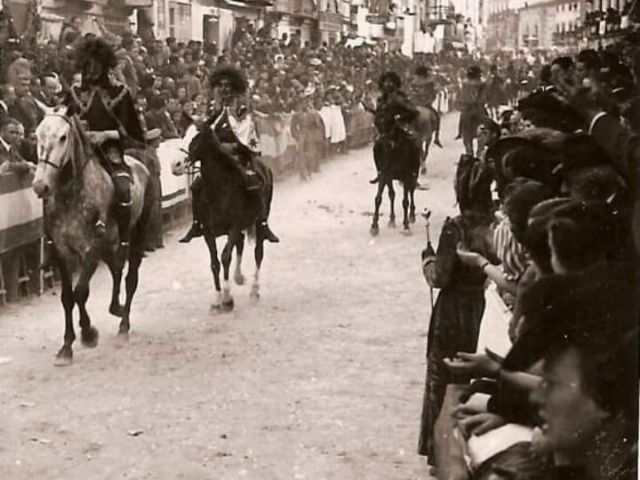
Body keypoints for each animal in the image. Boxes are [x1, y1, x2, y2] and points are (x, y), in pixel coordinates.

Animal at [33, 108, 152, 364]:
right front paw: (66, 347)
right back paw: (115, 307)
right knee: (117, 270)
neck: (72, 196)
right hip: (111, 246)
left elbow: (80, 292)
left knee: (130, 279)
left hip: (136, 237)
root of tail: (141, 165)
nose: (40, 186)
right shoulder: (62, 254)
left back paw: (124, 325)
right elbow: (67, 297)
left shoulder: (90, 251)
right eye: (37, 135)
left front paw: (88, 333)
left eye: (63, 137)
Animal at [172, 124, 276, 312]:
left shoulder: (233, 226)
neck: (218, 190)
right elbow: (215, 263)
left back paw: (254, 290)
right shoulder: (208, 231)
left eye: (197, 138)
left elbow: (226, 256)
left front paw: (227, 299)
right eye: (184, 135)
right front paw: (217, 299)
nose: (175, 164)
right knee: (240, 244)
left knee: (258, 253)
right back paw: (238, 276)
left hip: (259, 222)